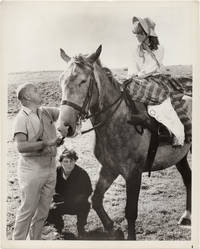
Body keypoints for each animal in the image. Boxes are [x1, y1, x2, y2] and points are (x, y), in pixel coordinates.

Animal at [57, 44, 191, 239]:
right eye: (61, 81)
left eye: (83, 81)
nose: (63, 127)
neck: (119, 121)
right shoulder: (109, 169)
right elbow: (96, 199)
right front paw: (112, 228)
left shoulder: (133, 174)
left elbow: (131, 212)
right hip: (180, 156)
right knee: (188, 177)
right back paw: (187, 216)